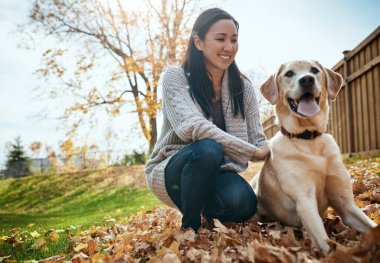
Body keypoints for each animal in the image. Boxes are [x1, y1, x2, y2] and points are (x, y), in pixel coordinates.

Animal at [249, 59, 378, 254]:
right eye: (289, 73)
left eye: (315, 70)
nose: (307, 80)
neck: (309, 140)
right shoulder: (304, 199)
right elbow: (326, 243)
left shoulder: (346, 204)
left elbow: (372, 226)